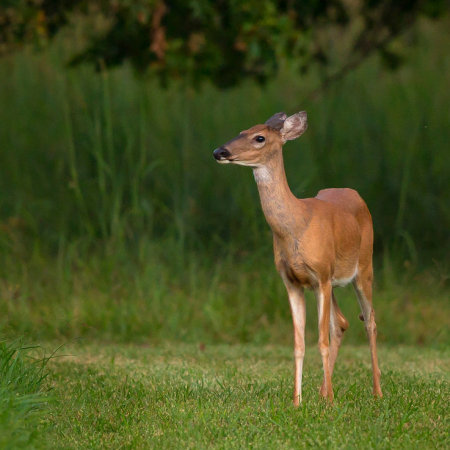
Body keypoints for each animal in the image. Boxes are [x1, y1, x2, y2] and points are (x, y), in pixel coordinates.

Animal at [213, 111, 382, 404]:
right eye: (241, 131)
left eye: (259, 138)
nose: (219, 151)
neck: (296, 224)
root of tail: (355, 194)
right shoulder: (293, 281)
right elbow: (299, 343)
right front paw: (297, 401)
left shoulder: (321, 275)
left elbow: (321, 341)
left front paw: (330, 403)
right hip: (332, 281)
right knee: (341, 323)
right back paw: (323, 390)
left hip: (364, 267)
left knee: (369, 321)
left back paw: (376, 392)